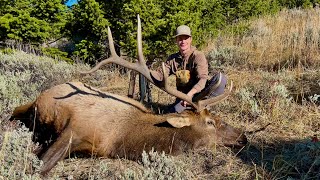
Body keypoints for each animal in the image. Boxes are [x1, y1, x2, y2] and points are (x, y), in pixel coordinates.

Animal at [8, 15, 246, 176]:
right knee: (16, 110)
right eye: (210, 122)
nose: (242, 136)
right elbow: (40, 166)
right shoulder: (73, 130)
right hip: (34, 105)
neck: (120, 136)